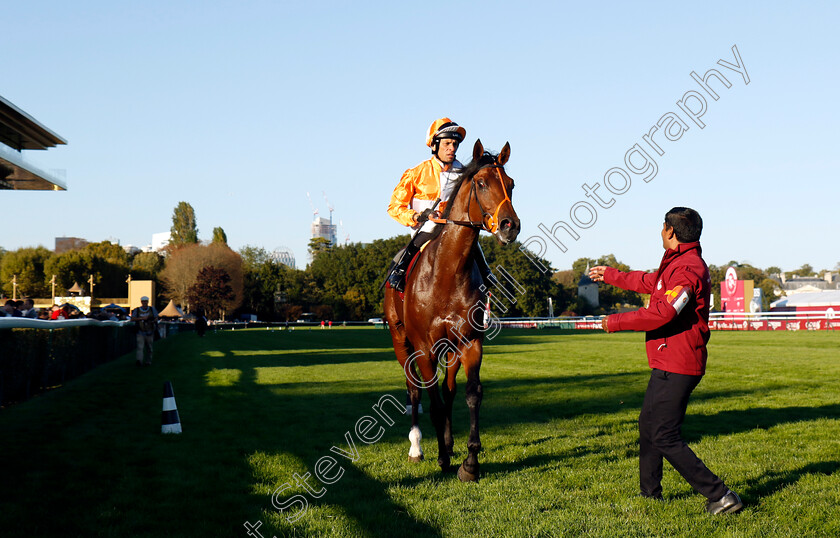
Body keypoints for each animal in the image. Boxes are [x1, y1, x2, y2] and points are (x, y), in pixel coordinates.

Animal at [386, 139, 520, 482]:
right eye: (482, 183)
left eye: (511, 184)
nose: (510, 226)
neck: (446, 272)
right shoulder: (423, 347)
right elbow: (431, 400)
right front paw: (442, 458)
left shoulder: (470, 342)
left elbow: (471, 393)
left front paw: (469, 462)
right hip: (401, 341)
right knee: (414, 392)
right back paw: (418, 447)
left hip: (450, 348)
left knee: (449, 390)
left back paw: (447, 441)